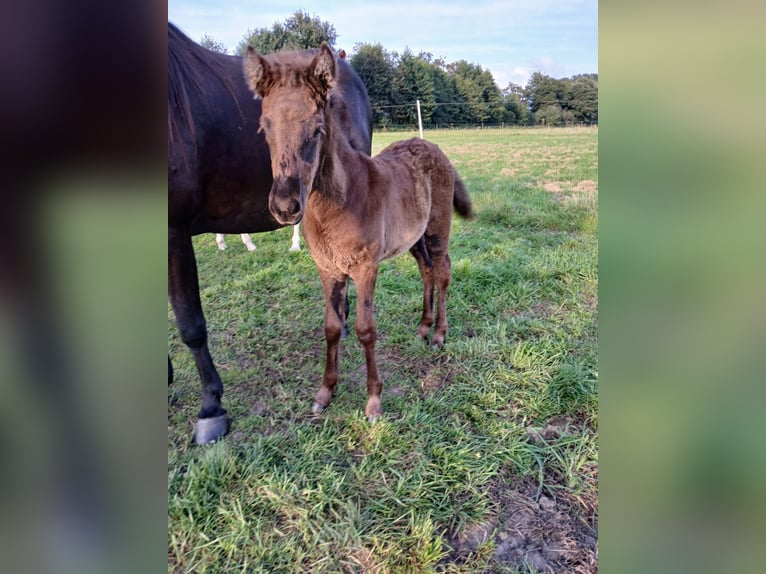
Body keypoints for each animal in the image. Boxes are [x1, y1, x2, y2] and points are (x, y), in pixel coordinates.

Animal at [246, 45, 474, 420]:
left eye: (317, 130)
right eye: (265, 129)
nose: (285, 206)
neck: (339, 201)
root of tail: (435, 149)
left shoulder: (366, 267)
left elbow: (366, 329)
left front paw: (373, 401)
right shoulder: (327, 268)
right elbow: (332, 326)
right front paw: (325, 392)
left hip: (438, 230)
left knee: (442, 272)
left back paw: (440, 335)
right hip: (413, 238)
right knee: (426, 270)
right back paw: (423, 327)